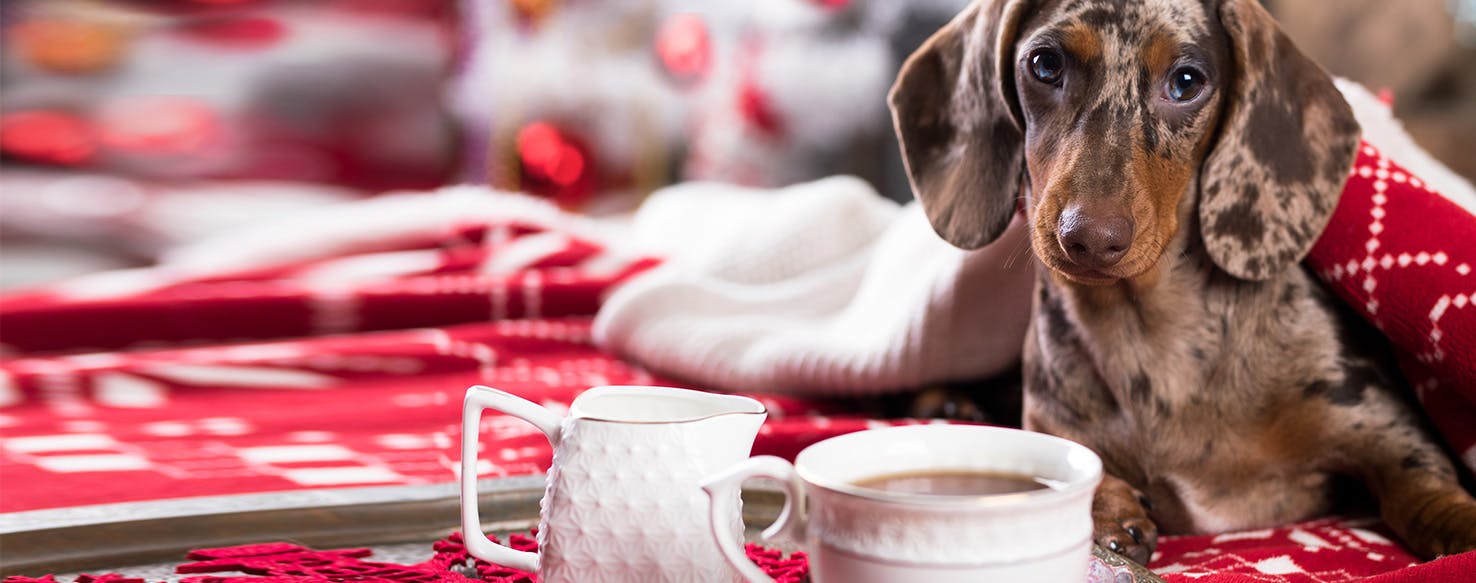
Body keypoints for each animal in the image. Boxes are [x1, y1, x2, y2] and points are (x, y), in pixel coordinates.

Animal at [885, 0, 1476, 569]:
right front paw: (1107, 508)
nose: (1089, 238)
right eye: (1045, 65)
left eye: (1187, 81)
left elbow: (1423, 488)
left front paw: (1458, 526)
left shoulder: (1386, 429)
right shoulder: (1055, 425)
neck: (1153, 338)